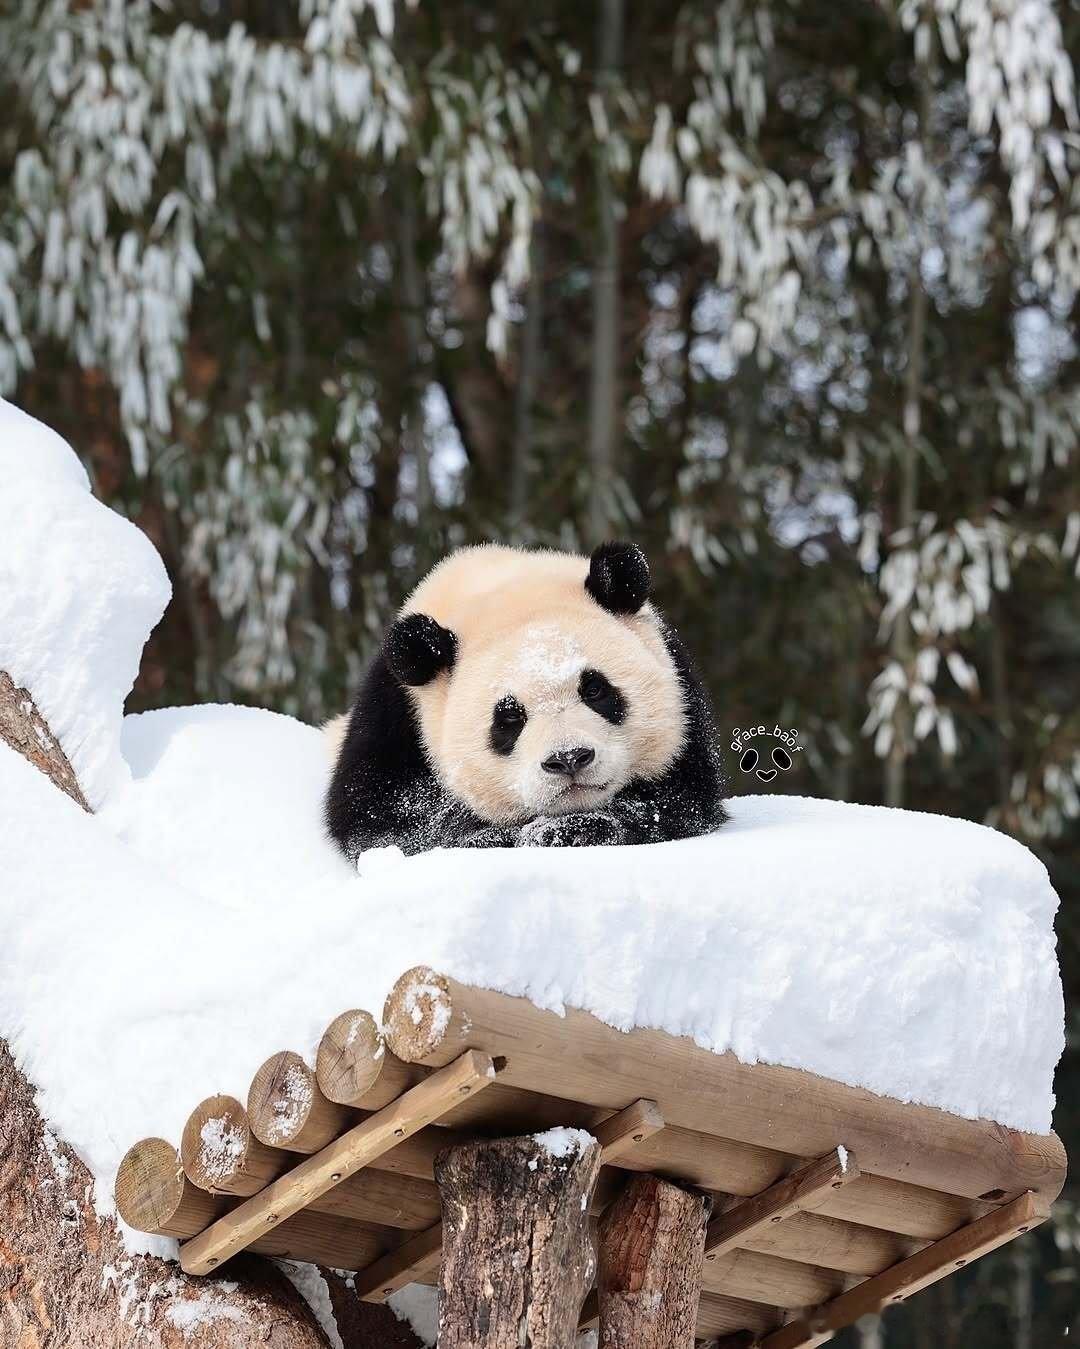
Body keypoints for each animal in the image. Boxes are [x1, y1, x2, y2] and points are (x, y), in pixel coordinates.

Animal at [320, 536, 722, 852]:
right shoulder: (392, 718)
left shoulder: (683, 699)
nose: (569, 759)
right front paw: (490, 835)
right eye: (509, 717)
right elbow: (389, 820)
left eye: (594, 689)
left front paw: (566, 830)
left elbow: (678, 801)